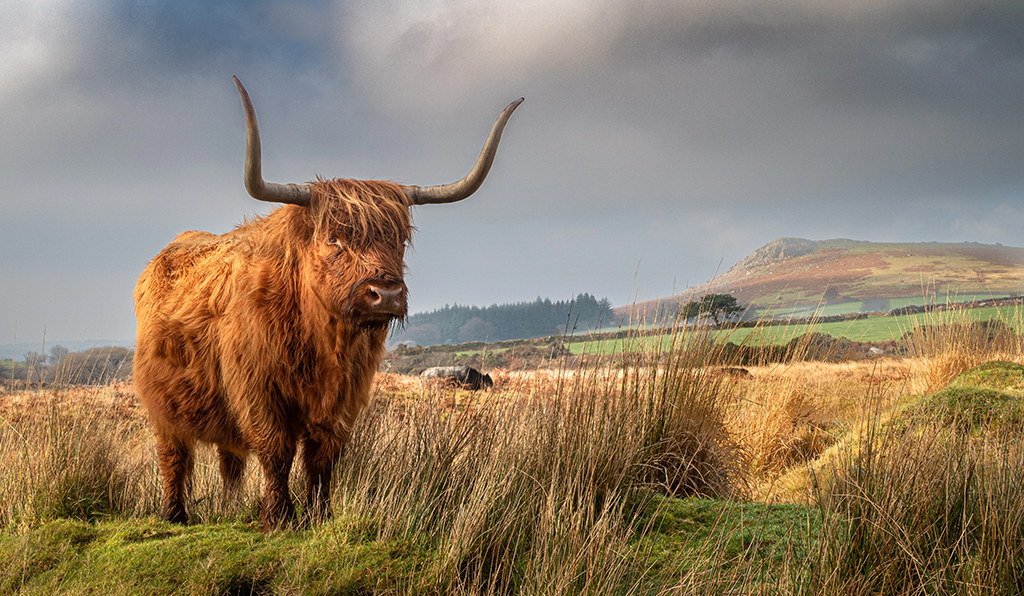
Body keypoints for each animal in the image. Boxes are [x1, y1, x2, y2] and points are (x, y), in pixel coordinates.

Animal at [133, 77, 521, 532]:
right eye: (334, 238)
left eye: (399, 240)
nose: (386, 294)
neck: (324, 342)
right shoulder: (258, 391)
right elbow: (276, 451)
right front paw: (278, 518)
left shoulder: (344, 399)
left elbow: (323, 457)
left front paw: (319, 515)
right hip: (163, 410)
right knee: (175, 456)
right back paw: (175, 514)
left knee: (231, 462)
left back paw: (230, 511)